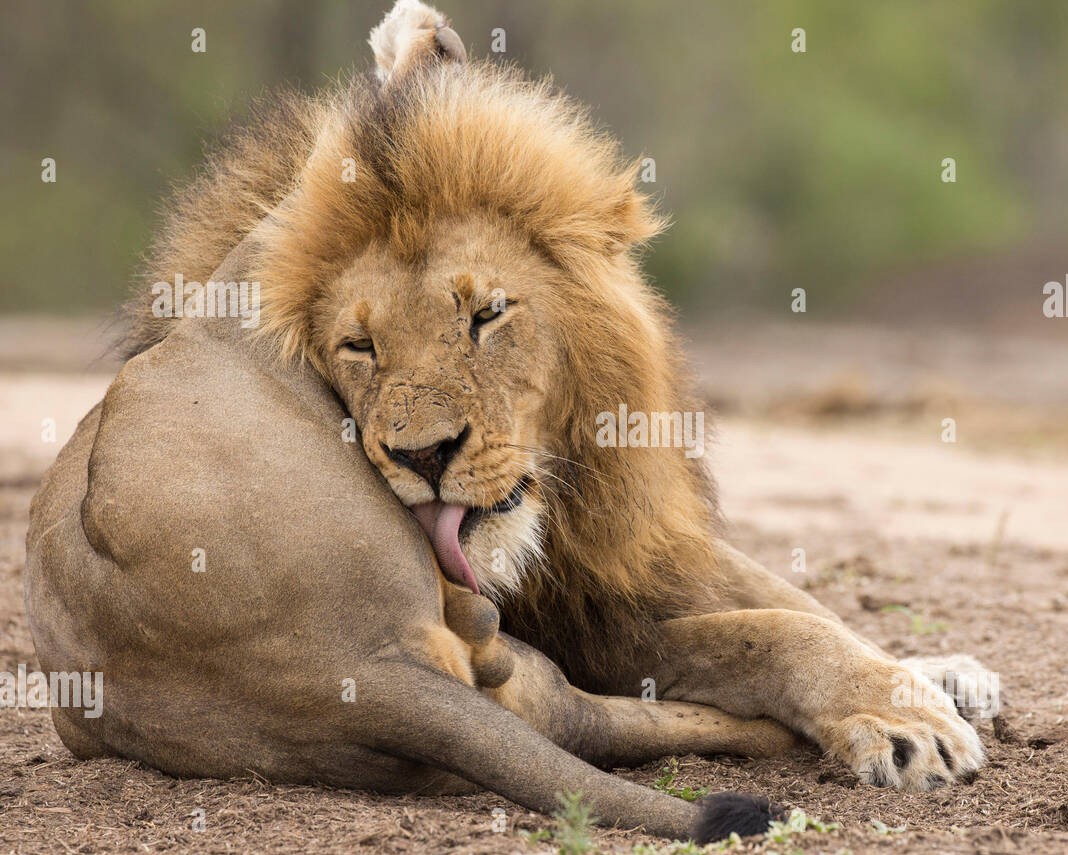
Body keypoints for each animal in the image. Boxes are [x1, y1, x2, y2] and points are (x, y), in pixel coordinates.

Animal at [25, 0, 984, 844]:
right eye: (359, 345)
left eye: (486, 314)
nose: (423, 455)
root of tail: (341, 666)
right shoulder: (582, 613)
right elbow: (757, 630)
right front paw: (899, 716)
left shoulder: (615, 545)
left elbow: (776, 590)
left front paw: (939, 672)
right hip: (526, 665)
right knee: (614, 724)